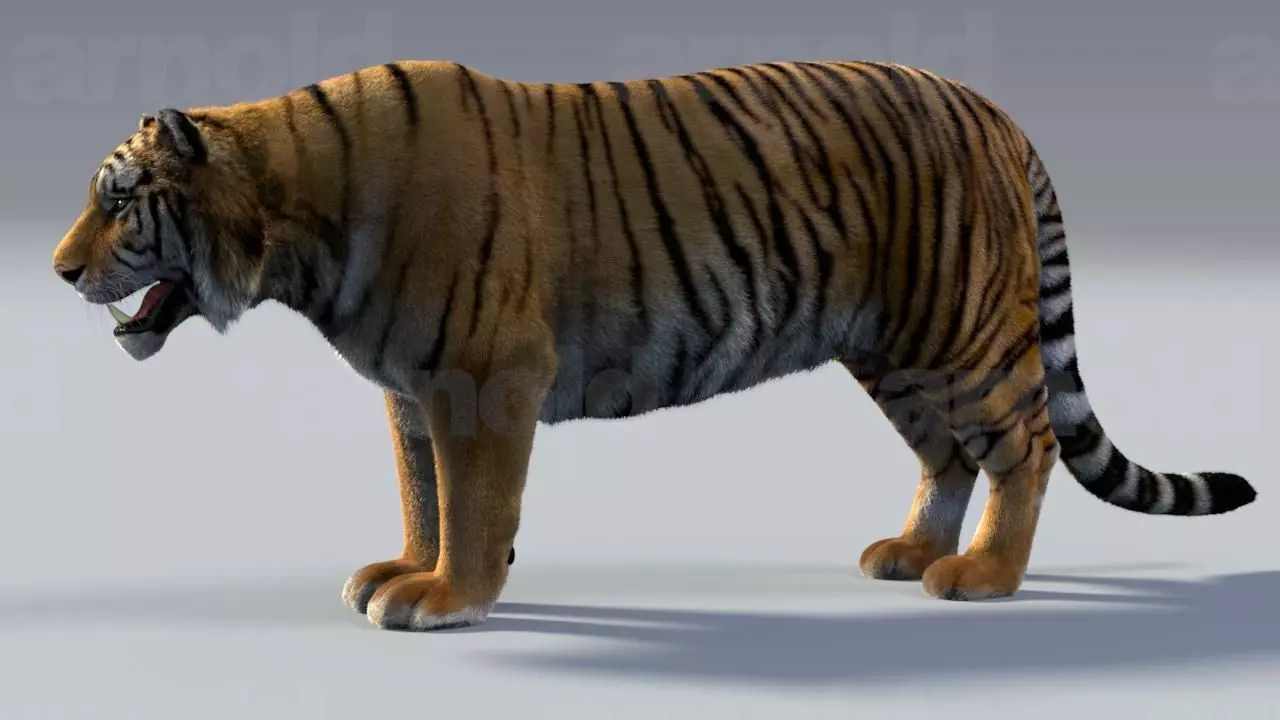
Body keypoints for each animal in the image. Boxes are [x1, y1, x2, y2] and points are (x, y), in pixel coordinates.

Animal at [52, 59, 1257, 631]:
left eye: (116, 202)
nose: (59, 270)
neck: (297, 226)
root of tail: (992, 107)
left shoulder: (485, 375)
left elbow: (474, 500)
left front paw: (448, 597)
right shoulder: (409, 389)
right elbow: (421, 492)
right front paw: (405, 567)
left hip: (955, 326)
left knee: (1024, 445)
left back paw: (982, 576)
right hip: (895, 351)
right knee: (947, 451)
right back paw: (911, 552)